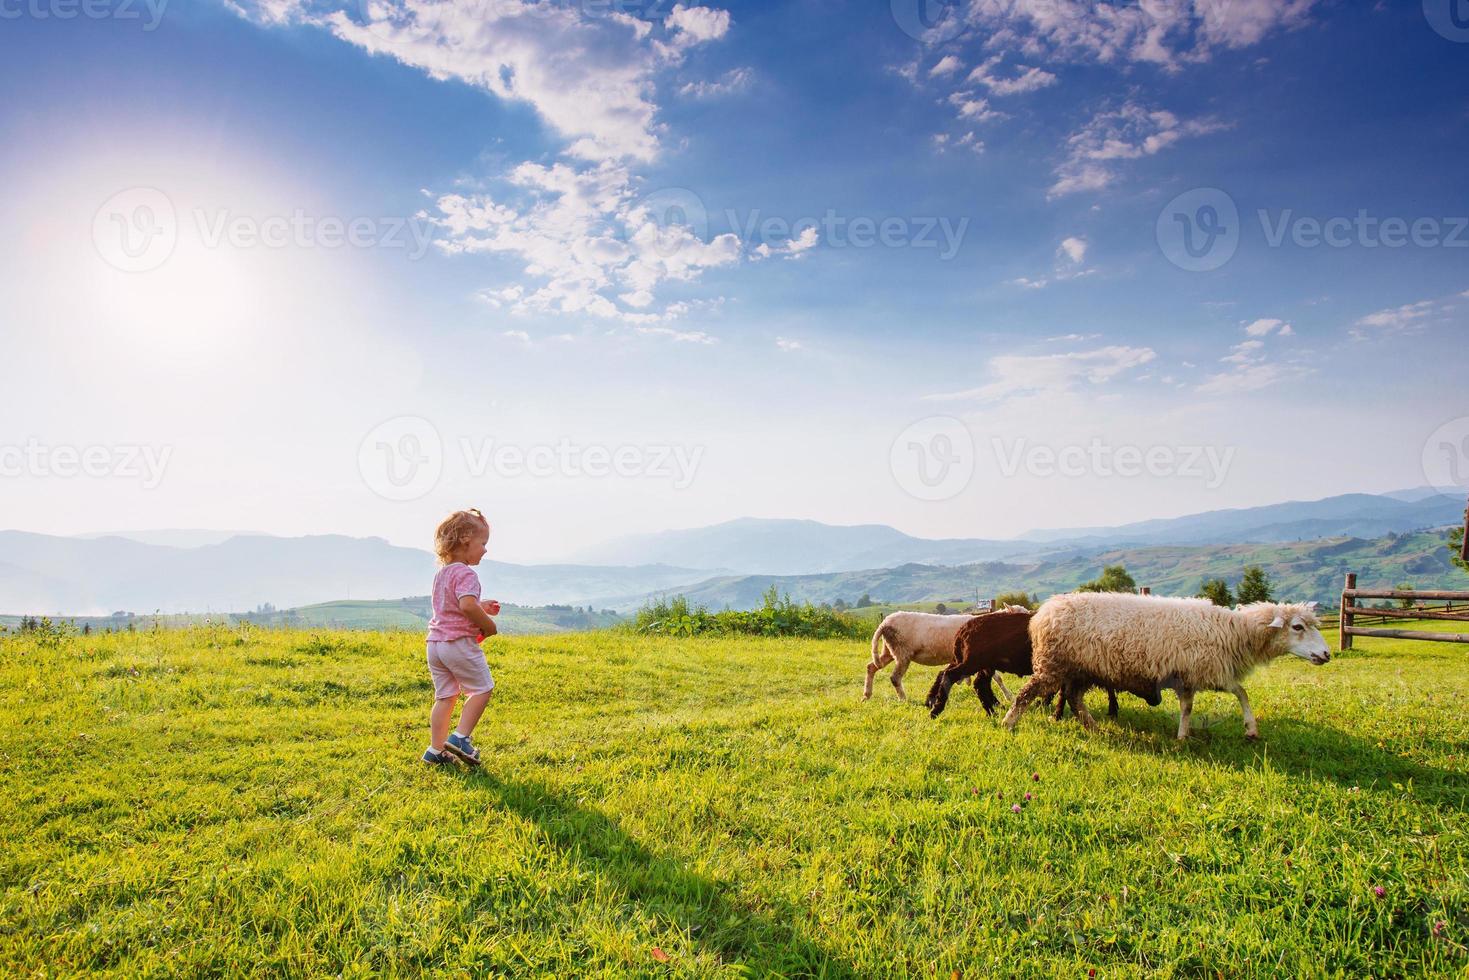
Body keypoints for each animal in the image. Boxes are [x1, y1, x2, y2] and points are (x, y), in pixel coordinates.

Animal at [998, 593, 1333, 740]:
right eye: (1298, 627)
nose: (1327, 654)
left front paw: (1184, 736)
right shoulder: (1203, 671)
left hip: (1082, 668)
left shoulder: (1198, 674)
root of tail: (1043, 612)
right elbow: (1237, 693)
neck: (1233, 633)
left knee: (1075, 698)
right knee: (1027, 693)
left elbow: (1200, 704)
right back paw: (1008, 722)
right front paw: (1249, 729)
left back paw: (1092, 726)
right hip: (1054, 664)